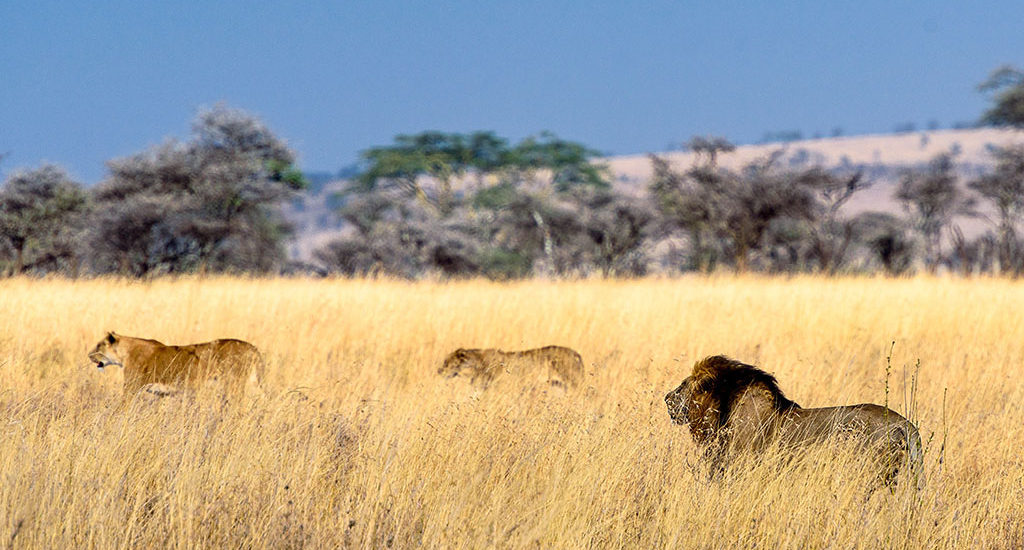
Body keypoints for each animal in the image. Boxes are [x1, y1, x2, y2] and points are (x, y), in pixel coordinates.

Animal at [88, 329, 266, 399]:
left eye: (98, 346)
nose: (89, 356)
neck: (124, 354)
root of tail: (254, 348)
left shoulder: (132, 388)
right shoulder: (160, 393)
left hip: (234, 386)